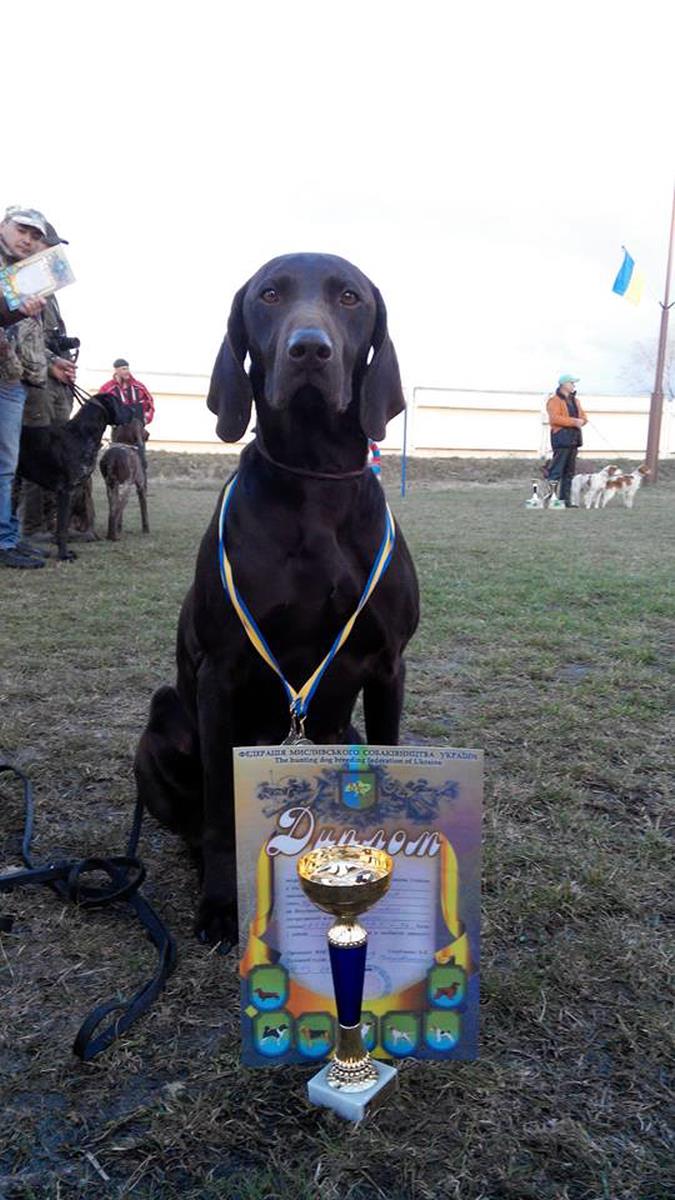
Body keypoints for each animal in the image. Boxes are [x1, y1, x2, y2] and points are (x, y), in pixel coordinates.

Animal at [17, 394, 134, 560]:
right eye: (119, 401)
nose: (133, 410)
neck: (82, 435)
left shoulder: (74, 493)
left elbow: (64, 526)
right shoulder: (66, 491)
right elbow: (62, 528)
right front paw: (63, 555)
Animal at [99, 413, 150, 541]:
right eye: (142, 426)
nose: (148, 434)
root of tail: (112, 459)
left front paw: (119, 527)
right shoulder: (141, 486)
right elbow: (144, 510)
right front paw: (146, 529)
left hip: (111, 488)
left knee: (112, 511)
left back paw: (111, 534)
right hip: (126, 488)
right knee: (117, 509)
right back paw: (114, 536)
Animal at [134, 253, 420, 948]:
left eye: (349, 298)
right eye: (269, 295)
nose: (309, 349)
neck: (316, 478)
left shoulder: (388, 664)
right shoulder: (220, 671)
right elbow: (218, 808)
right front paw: (219, 903)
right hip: (162, 719)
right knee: (190, 819)